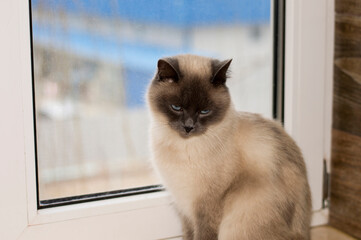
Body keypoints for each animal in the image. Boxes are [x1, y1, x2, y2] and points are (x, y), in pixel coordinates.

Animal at [145, 54, 310, 240]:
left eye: (205, 111)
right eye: (176, 107)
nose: (188, 127)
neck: (183, 146)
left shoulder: (205, 206)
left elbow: (202, 235)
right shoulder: (184, 206)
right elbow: (188, 234)